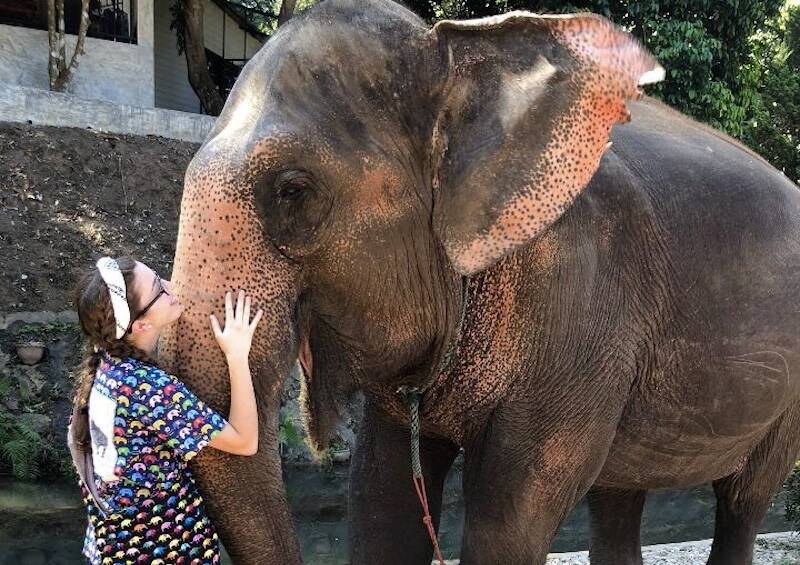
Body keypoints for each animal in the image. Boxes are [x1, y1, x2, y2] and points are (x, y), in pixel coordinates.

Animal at [159, 0, 800, 563]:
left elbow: (509, 520)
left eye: (292, 190)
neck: (457, 55)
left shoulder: (584, 303)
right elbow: (381, 501)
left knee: (743, 500)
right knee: (617, 501)